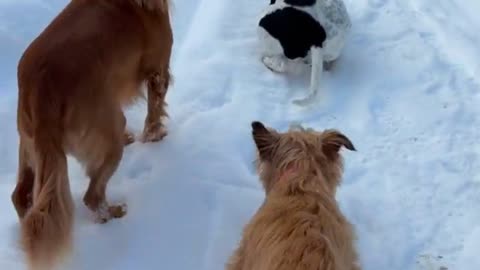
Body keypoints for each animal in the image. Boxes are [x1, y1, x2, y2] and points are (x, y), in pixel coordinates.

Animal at [11, 1, 173, 268]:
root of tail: (41, 91)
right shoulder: (158, 70)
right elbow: (154, 111)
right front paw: (155, 136)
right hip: (110, 133)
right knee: (92, 196)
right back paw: (113, 213)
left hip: (29, 146)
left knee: (20, 195)